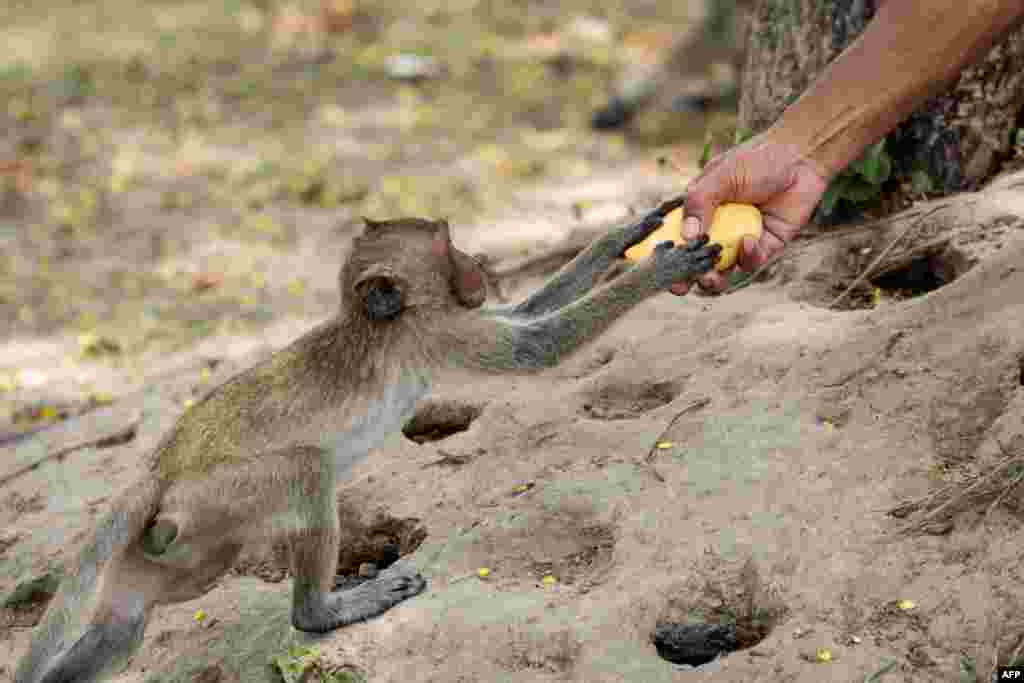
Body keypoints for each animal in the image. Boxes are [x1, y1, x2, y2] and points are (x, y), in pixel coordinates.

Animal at [15, 195, 720, 682]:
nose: (481, 264)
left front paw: (619, 236)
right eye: (447, 247)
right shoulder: (435, 331)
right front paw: (657, 272)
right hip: (217, 497)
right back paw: (323, 611)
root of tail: (159, 467)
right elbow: (536, 344)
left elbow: (528, 314)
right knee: (307, 470)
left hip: (175, 549)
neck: (382, 320)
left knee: (122, 629)